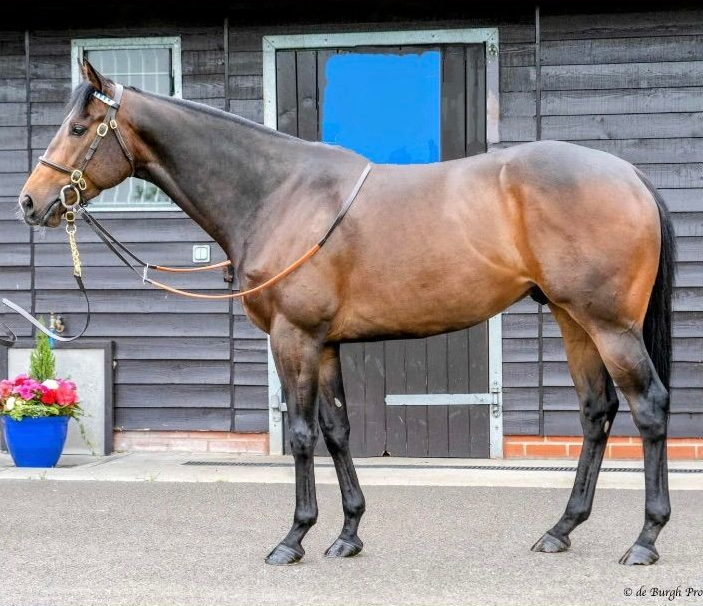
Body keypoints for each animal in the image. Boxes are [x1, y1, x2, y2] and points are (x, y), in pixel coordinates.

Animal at [17, 60, 676, 567]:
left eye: (78, 127)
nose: (30, 202)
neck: (278, 193)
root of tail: (630, 175)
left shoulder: (294, 338)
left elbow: (303, 434)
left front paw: (293, 538)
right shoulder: (326, 344)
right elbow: (337, 431)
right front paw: (348, 533)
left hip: (609, 325)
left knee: (648, 407)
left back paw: (645, 539)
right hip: (572, 319)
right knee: (597, 412)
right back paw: (561, 529)